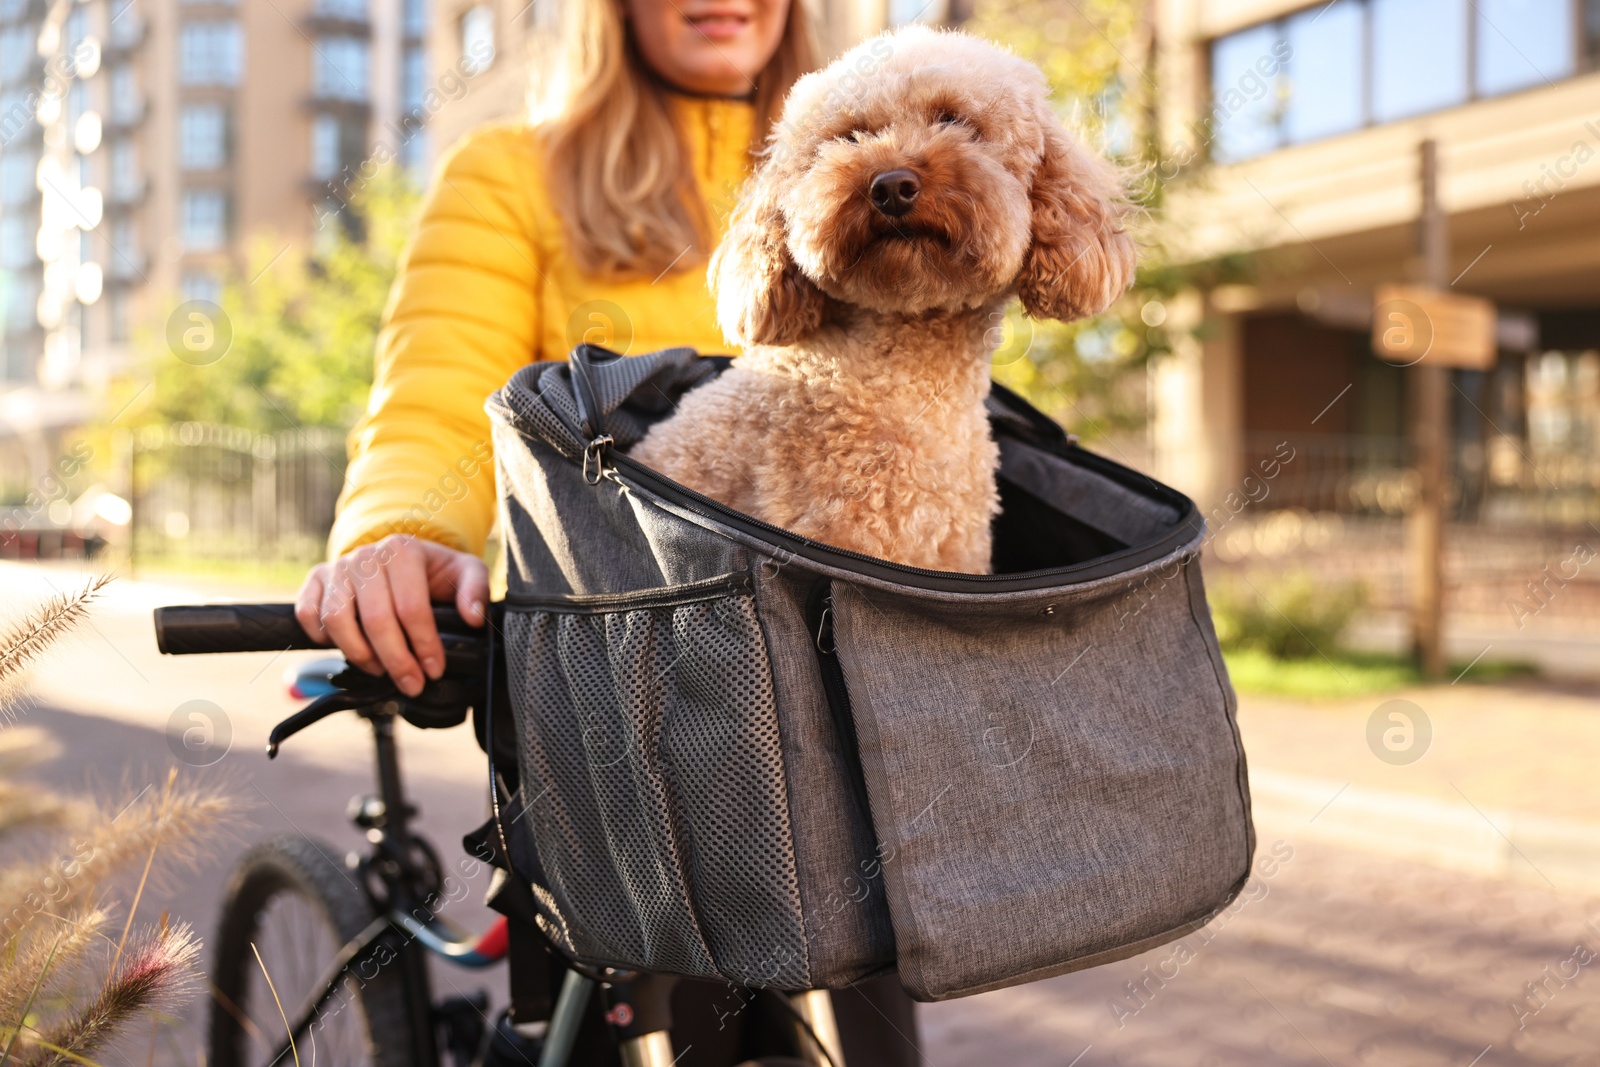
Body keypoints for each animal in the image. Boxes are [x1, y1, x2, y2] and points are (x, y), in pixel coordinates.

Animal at [624, 27, 1139, 575]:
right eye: (850, 137)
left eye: (953, 120)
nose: (891, 186)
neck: (906, 379)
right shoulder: (843, 530)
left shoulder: (956, 553)